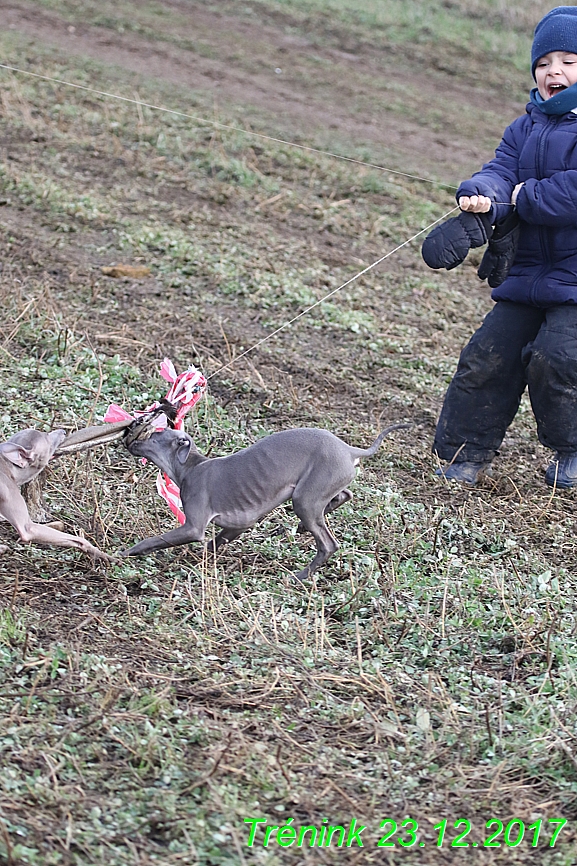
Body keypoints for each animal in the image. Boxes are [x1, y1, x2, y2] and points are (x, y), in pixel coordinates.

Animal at [124, 420, 408, 576]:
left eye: (155, 433)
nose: (129, 435)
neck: (191, 467)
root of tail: (349, 450)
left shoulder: (193, 526)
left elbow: (154, 541)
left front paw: (126, 552)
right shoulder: (237, 525)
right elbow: (212, 545)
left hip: (304, 498)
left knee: (328, 545)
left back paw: (299, 576)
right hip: (320, 488)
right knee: (343, 495)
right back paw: (304, 526)